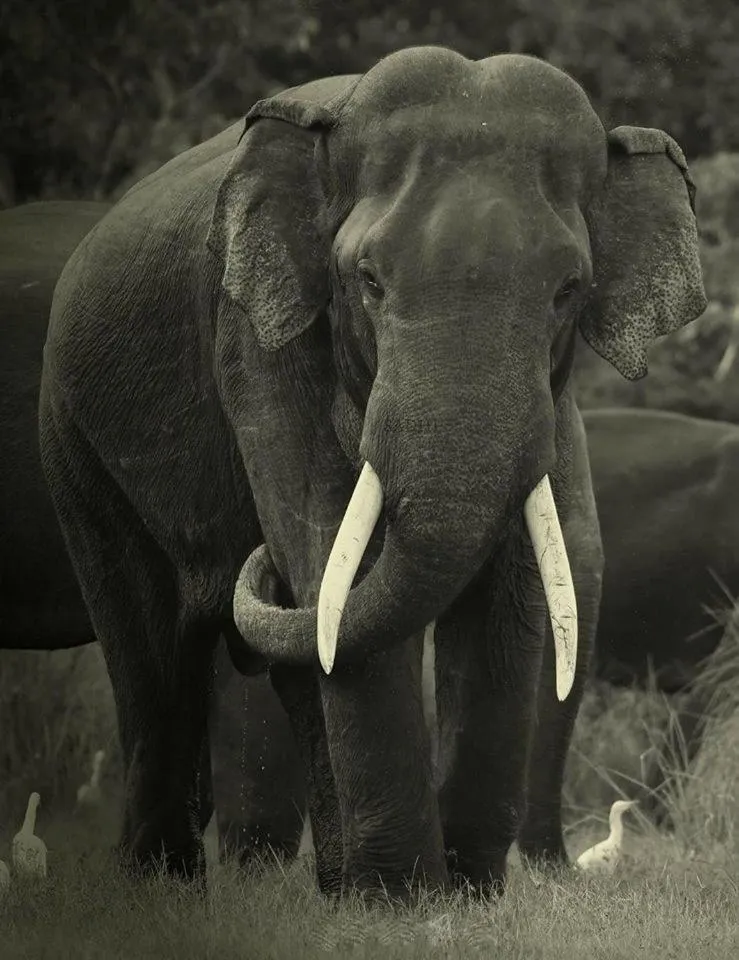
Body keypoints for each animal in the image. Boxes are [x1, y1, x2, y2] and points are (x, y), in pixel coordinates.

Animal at [39, 46, 705, 898]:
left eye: (567, 290)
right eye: (368, 281)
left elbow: (509, 590)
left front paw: (464, 895)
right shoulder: (260, 342)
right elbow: (329, 553)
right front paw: (403, 900)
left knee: (290, 664)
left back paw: (331, 885)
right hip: (76, 443)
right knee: (150, 654)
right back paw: (160, 886)